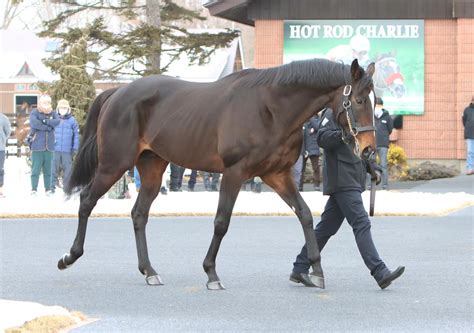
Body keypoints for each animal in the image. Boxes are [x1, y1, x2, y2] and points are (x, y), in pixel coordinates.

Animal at [61, 58, 376, 290]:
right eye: (359, 101)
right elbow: (222, 222)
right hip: (113, 164)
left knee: (139, 214)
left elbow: (306, 214)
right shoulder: (234, 173)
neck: (270, 108)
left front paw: (316, 270)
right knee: (87, 199)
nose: (369, 150)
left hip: (152, 168)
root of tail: (117, 92)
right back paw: (70, 255)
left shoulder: (277, 175)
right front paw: (211, 273)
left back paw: (149, 271)